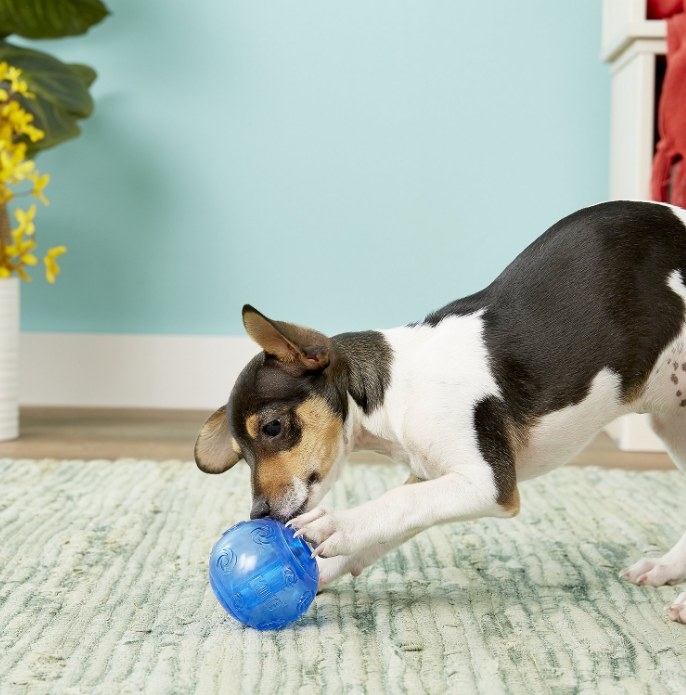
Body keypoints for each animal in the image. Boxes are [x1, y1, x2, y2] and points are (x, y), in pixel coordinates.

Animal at [195, 201, 686, 624]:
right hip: (671, 424)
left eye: (274, 427)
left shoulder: (489, 483)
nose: (258, 515)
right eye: (240, 454)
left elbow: (395, 503)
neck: (396, 391)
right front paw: (320, 568)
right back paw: (666, 570)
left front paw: (335, 525)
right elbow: (394, 520)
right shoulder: (434, 476)